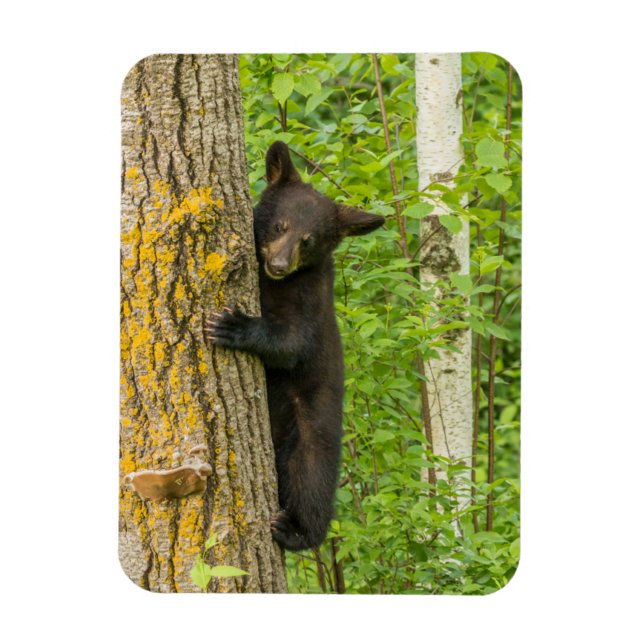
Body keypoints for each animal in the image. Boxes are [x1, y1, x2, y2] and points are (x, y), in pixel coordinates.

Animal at [206, 141, 384, 551]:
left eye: (309, 240)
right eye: (280, 225)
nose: (279, 264)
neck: (272, 284)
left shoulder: (309, 299)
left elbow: (290, 344)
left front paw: (233, 325)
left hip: (312, 432)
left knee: (310, 482)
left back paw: (296, 530)